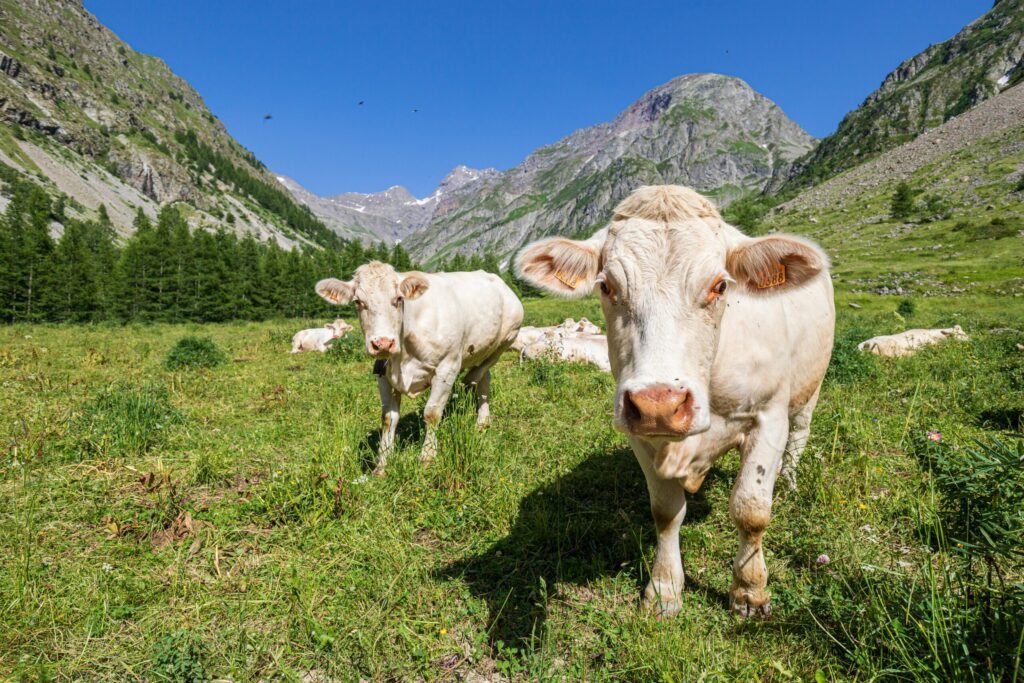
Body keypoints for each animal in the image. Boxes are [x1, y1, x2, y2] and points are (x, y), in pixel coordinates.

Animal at [313, 262, 524, 475]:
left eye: (399, 298)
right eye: (358, 301)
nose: (382, 344)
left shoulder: (447, 367)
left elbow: (431, 414)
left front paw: (427, 457)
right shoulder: (383, 375)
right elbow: (388, 418)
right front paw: (382, 463)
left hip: (509, 335)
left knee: (484, 367)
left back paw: (471, 382)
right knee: (484, 380)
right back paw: (483, 421)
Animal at [516, 183, 835, 618]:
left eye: (720, 285)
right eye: (606, 285)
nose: (659, 403)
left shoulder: (768, 418)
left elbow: (751, 510)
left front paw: (749, 591)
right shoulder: (640, 434)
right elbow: (666, 512)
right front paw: (664, 589)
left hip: (809, 393)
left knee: (799, 441)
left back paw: (789, 484)